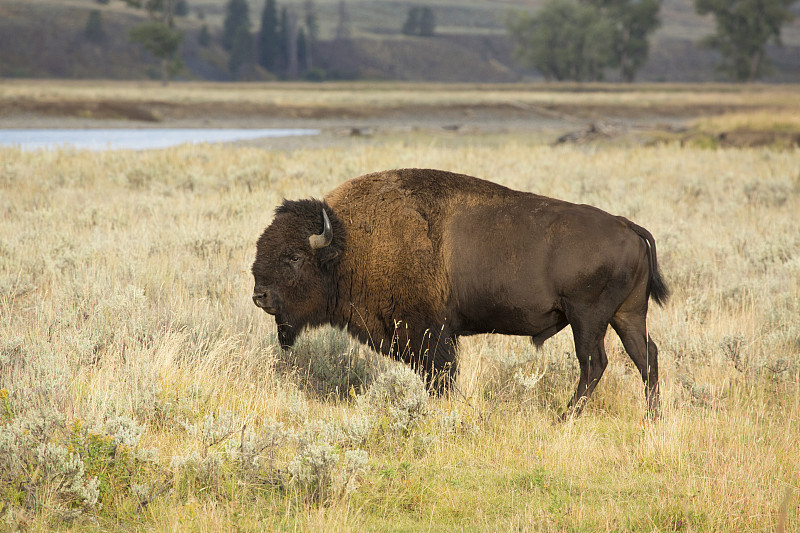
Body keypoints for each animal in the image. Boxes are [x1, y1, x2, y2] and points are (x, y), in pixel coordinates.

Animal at [252, 168, 668, 414]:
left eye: (293, 257)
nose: (260, 296)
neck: (349, 242)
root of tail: (629, 226)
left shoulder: (428, 333)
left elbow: (441, 375)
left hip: (588, 318)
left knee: (595, 363)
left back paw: (565, 418)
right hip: (627, 315)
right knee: (645, 356)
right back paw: (651, 417)